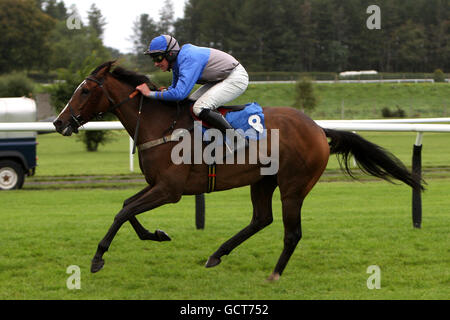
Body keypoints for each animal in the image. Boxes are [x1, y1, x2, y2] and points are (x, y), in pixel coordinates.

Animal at [52, 61, 422, 282]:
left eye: (85, 90)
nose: (58, 122)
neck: (161, 124)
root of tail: (318, 129)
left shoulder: (169, 191)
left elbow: (124, 211)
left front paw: (98, 258)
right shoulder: (158, 185)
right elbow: (126, 207)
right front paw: (157, 234)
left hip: (293, 187)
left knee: (291, 232)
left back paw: (274, 274)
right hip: (262, 181)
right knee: (261, 219)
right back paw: (217, 254)